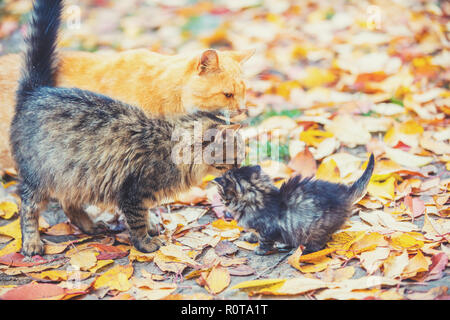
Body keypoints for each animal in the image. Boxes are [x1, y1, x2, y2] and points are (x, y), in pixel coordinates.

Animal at [214, 155, 376, 255]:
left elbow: (265, 240)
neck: (259, 198)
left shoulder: (268, 228)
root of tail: (343, 193)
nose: (221, 202)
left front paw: (259, 250)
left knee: (319, 243)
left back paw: (301, 250)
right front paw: (249, 236)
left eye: (221, 195)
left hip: (315, 228)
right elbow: (255, 233)